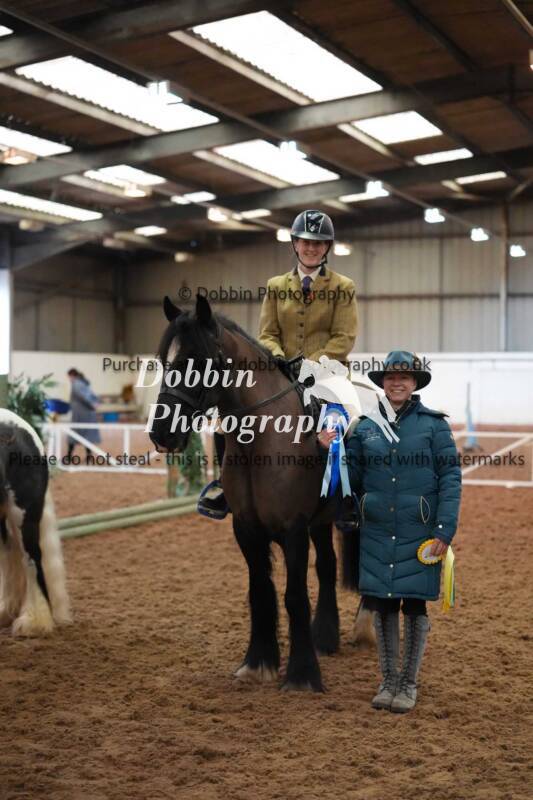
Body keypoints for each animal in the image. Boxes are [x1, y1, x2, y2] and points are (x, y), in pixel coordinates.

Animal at [149, 294, 371, 691]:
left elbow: (294, 595)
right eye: (163, 361)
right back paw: (325, 636)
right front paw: (258, 662)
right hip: (320, 521)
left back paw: (365, 628)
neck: (263, 440)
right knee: (328, 566)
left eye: (199, 361)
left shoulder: (294, 529)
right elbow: (259, 591)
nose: (162, 434)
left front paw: (302, 675)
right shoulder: (246, 528)